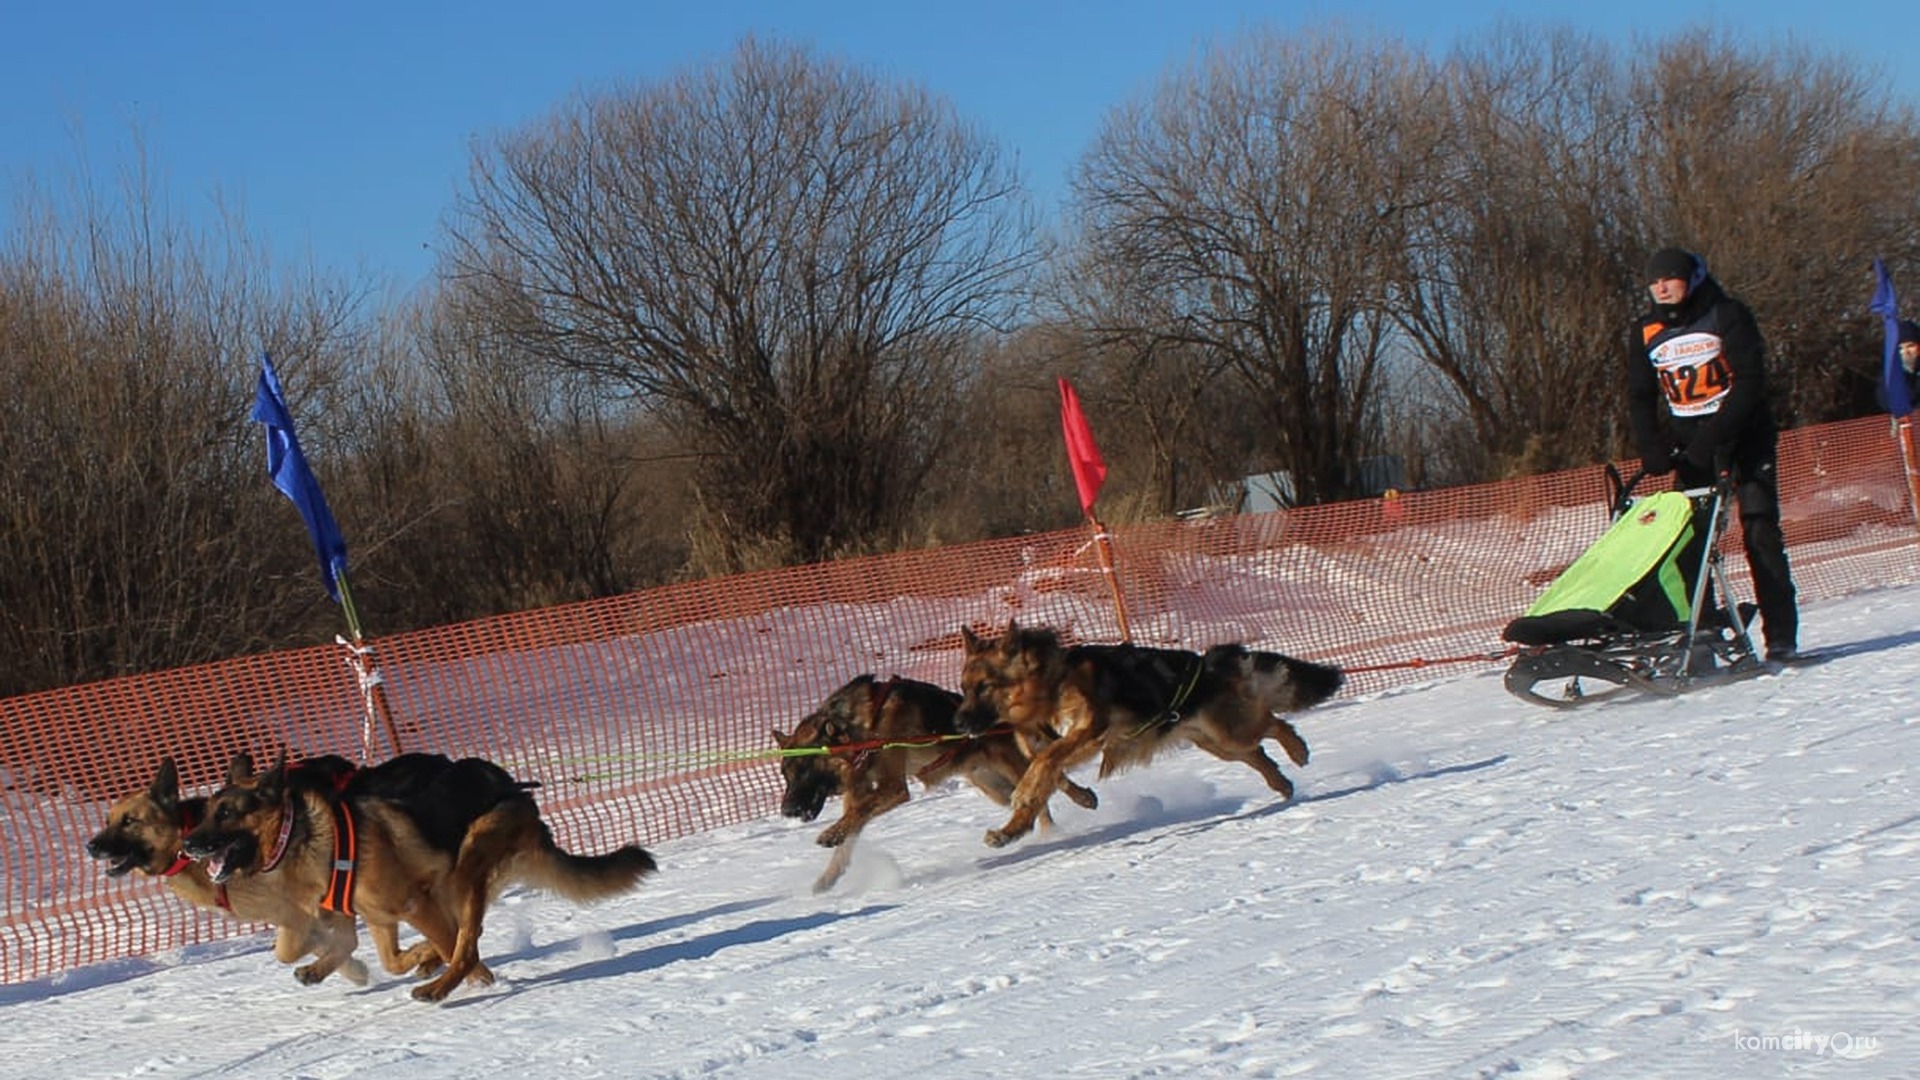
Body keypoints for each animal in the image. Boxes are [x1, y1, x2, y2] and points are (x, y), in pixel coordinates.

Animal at [86, 753, 384, 980]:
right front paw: (352, 969)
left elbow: (294, 947)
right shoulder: (291, 914)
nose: (90, 846)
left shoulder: (297, 910)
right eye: (108, 821)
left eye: (129, 821)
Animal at [183, 749, 656, 991]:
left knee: (466, 939)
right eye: (206, 812)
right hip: (457, 881)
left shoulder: (411, 903)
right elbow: (390, 959)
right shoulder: (378, 915)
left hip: (468, 862)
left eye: (226, 813)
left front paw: (479, 979)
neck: (299, 831)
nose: (187, 845)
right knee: (465, 931)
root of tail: (516, 789)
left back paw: (442, 983)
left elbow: (452, 947)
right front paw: (415, 959)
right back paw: (431, 966)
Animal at [768, 672, 1098, 891]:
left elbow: (857, 814)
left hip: (1016, 767)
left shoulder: (893, 789)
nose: (787, 811)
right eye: (786, 773)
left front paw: (830, 835)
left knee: (1054, 780)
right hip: (997, 787)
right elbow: (851, 827)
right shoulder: (858, 789)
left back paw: (1081, 801)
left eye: (805, 768)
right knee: (1039, 799)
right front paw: (829, 874)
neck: (858, 731)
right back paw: (1044, 831)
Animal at [952, 622, 1344, 849]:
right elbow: (1044, 781)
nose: (957, 723)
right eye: (964, 688)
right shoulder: (1054, 746)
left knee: (1273, 722)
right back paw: (1282, 784)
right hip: (1218, 742)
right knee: (1260, 753)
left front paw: (1023, 796)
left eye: (985, 686)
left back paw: (1298, 750)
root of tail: (1208, 662)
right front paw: (1011, 830)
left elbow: (1044, 764)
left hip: (1231, 732)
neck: (1049, 687)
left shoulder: (1085, 733)